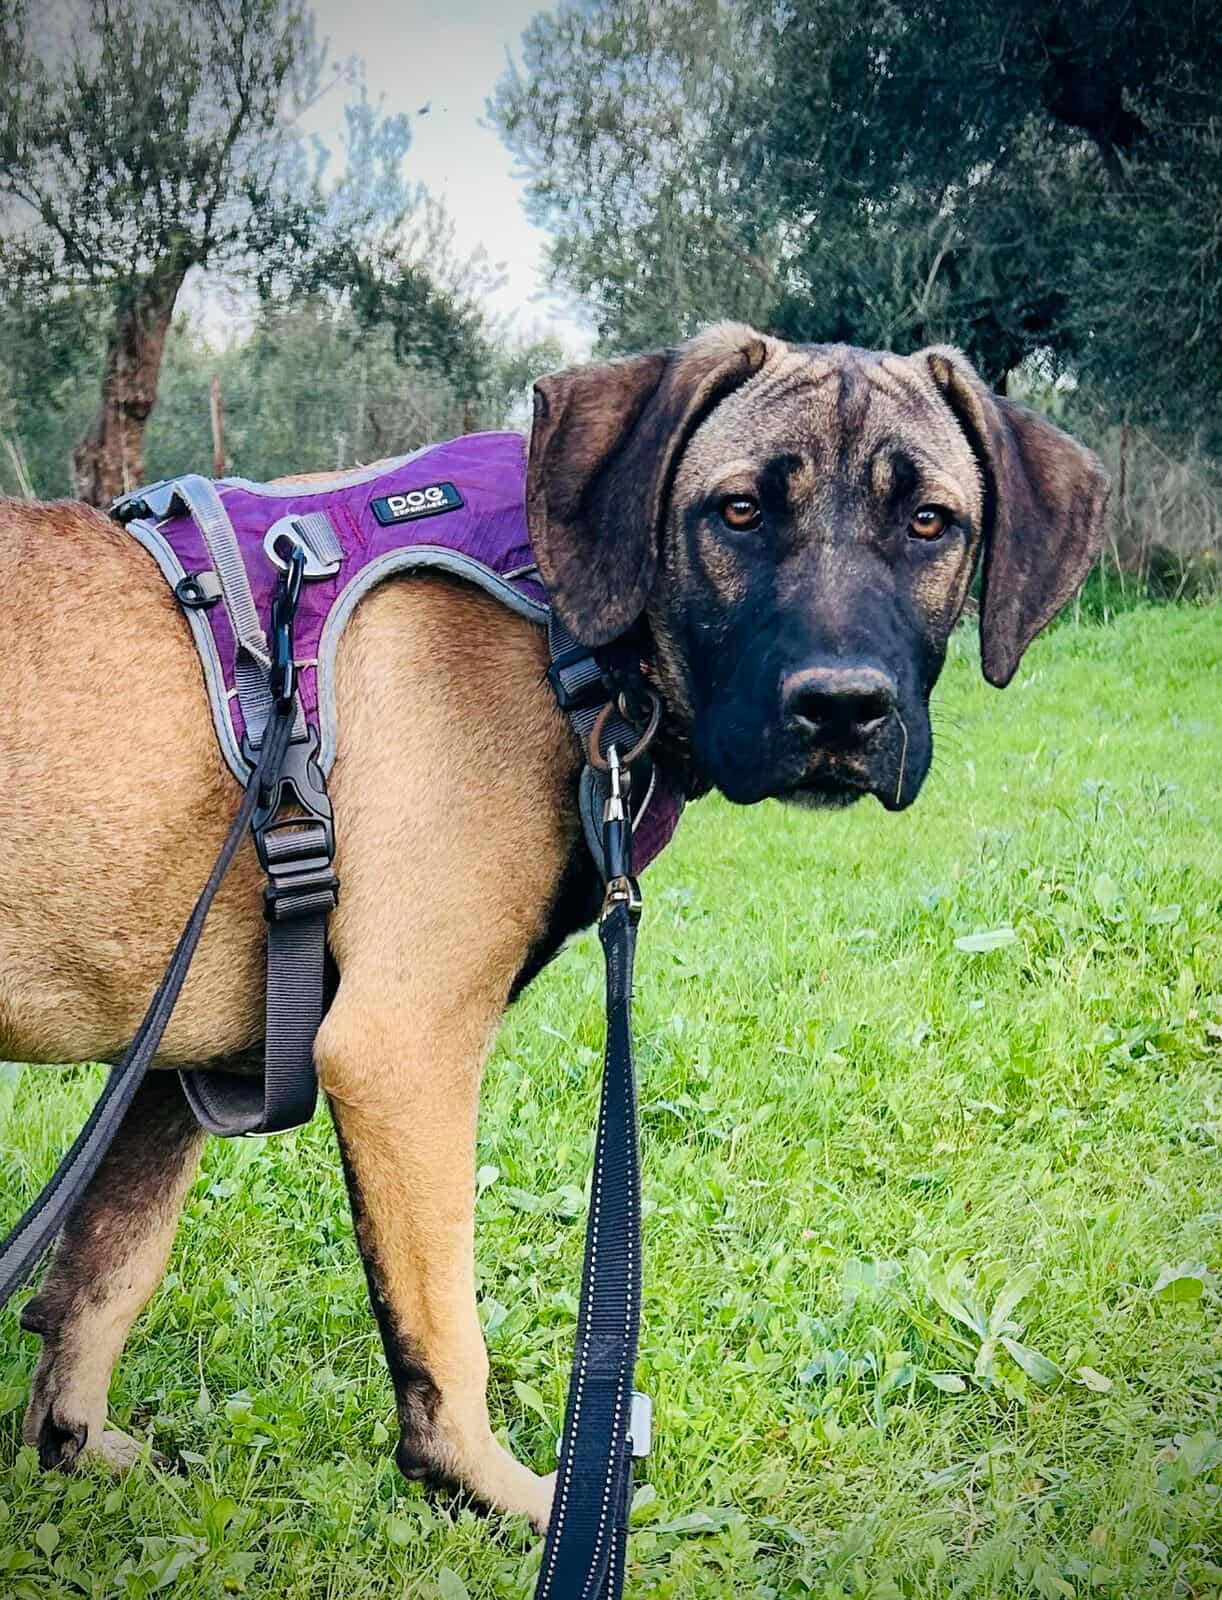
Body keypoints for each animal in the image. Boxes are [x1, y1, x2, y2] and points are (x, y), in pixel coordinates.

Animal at [0, 324, 1107, 1529]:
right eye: (737, 511)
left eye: (930, 523)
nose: (842, 709)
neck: (563, 629)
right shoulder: (402, 1047)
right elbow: (446, 1328)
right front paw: (500, 1491)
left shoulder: (174, 1067)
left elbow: (105, 1273)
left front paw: (73, 1446)